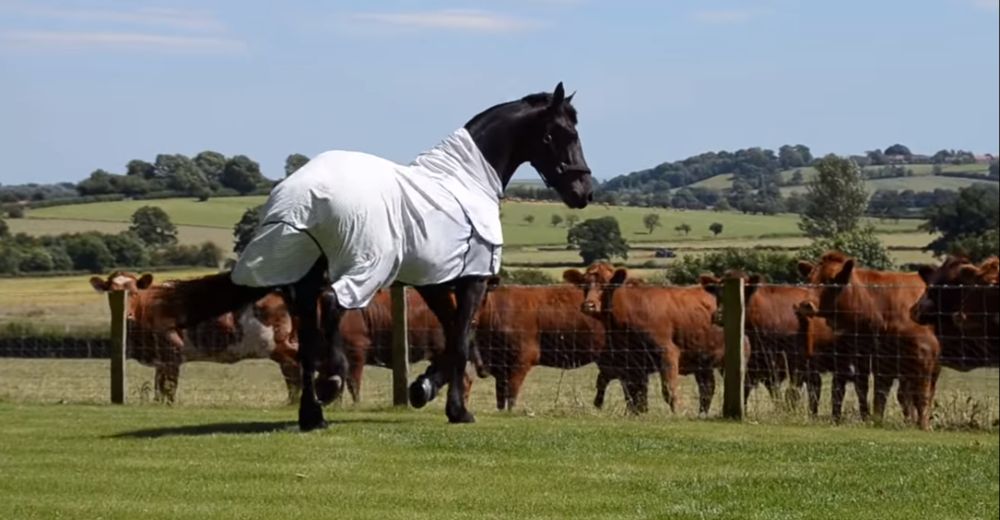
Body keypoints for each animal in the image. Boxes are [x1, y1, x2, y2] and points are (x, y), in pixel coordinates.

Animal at [90, 272, 298, 402]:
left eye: (134, 292)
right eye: (110, 293)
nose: (127, 315)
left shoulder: (172, 353)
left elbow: (169, 388)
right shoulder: (160, 360)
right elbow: (159, 387)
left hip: (280, 344)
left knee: (294, 371)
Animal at [160, 82, 588, 430]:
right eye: (564, 132)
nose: (583, 190)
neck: (465, 181)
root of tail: (303, 196)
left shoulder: (433, 280)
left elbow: (454, 333)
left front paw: (424, 387)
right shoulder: (472, 280)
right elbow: (462, 336)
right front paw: (453, 407)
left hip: (303, 276)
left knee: (308, 336)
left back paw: (312, 413)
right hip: (365, 265)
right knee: (334, 303)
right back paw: (331, 382)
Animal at [796, 253, 936, 430]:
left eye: (831, 280)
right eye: (809, 279)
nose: (805, 305)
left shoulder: (924, 358)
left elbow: (922, 395)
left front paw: (924, 426)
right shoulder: (879, 360)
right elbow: (876, 394)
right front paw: (874, 420)